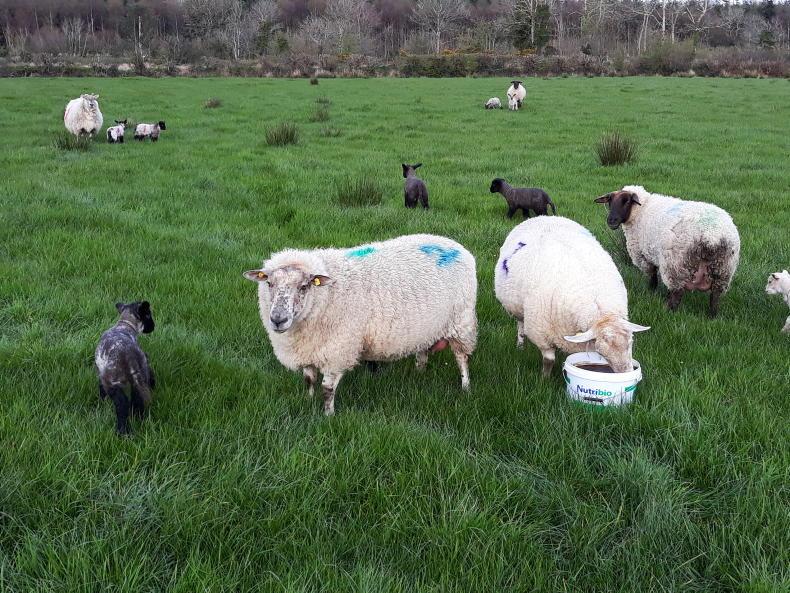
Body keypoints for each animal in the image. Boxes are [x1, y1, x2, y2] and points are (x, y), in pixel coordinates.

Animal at [95, 301, 156, 435]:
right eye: (148, 315)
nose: (153, 326)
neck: (124, 325)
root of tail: (129, 356)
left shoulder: (101, 373)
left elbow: (101, 389)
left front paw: (101, 402)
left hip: (112, 382)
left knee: (122, 405)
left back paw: (123, 432)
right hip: (140, 376)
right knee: (137, 399)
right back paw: (139, 419)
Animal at [242, 234, 478, 415]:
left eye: (304, 286)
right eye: (269, 283)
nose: (277, 319)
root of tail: (455, 244)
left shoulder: (338, 350)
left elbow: (327, 389)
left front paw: (328, 416)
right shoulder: (309, 349)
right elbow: (308, 380)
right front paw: (307, 402)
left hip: (461, 321)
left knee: (461, 358)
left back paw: (466, 388)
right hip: (426, 327)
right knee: (422, 351)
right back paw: (419, 373)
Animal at [495, 216, 649, 376]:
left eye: (631, 343)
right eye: (601, 351)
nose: (628, 372)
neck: (601, 312)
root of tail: (544, 217)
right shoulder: (542, 333)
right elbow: (548, 360)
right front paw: (544, 378)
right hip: (516, 308)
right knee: (520, 324)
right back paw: (520, 345)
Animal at [595, 185, 741, 318]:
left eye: (626, 201)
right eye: (609, 201)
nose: (611, 220)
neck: (642, 209)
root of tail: (712, 235)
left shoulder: (644, 256)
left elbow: (652, 276)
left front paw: (651, 291)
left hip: (676, 265)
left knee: (677, 292)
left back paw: (668, 310)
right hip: (723, 269)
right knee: (715, 296)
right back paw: (712, 316)